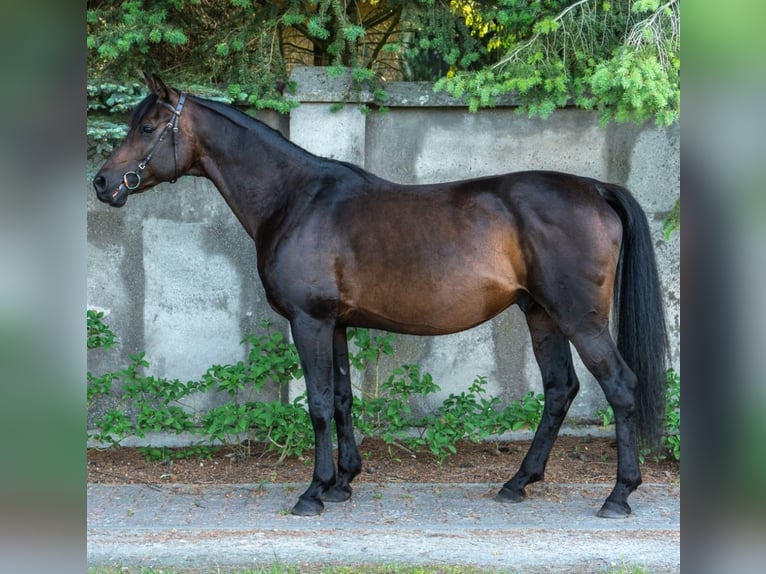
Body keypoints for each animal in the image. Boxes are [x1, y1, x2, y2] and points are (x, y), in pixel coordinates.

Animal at [93, 73, 668, 519]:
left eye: (147, 127)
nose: (102, 183)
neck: (295, 199)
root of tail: (595, 188)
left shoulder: (309, 321)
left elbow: (318, 404)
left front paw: (313, 492)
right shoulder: (336, 324)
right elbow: (343, 399)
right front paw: (343, 482)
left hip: (579, 318)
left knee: (619, 385)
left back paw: (618, 496)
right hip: (542, 314)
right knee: (558, 390)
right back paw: (517, 483)